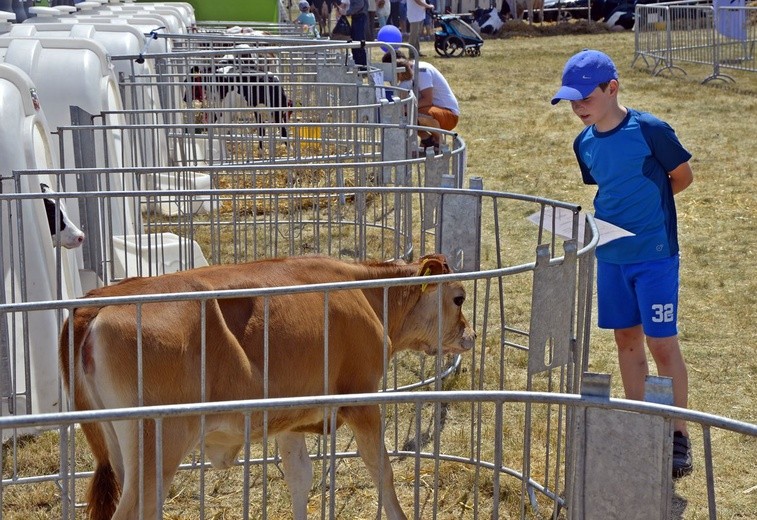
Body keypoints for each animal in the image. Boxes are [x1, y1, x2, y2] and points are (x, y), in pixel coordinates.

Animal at [60, 255, 472, 520]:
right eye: (459, 297)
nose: (471, 335)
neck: (365, 293)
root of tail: (94, 305)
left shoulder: (289, 419)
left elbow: (300, 479)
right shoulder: (362, 399)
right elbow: (382, 472)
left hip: (121, 447)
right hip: (158, 441)